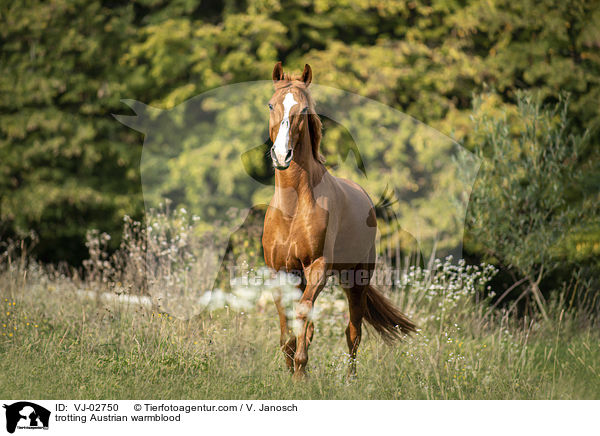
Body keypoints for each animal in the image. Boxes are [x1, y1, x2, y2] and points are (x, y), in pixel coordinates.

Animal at [262, 61, 418, 378]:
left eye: (303, 110)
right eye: (271, 104)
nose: (282, 155)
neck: (292, 208)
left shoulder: (318, 268)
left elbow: (301, 315)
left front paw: (299, 373)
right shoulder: (279, 271)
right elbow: (287, 326)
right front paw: (291, 370)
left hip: (356, 280)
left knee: (353, 332)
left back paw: (350, 379)